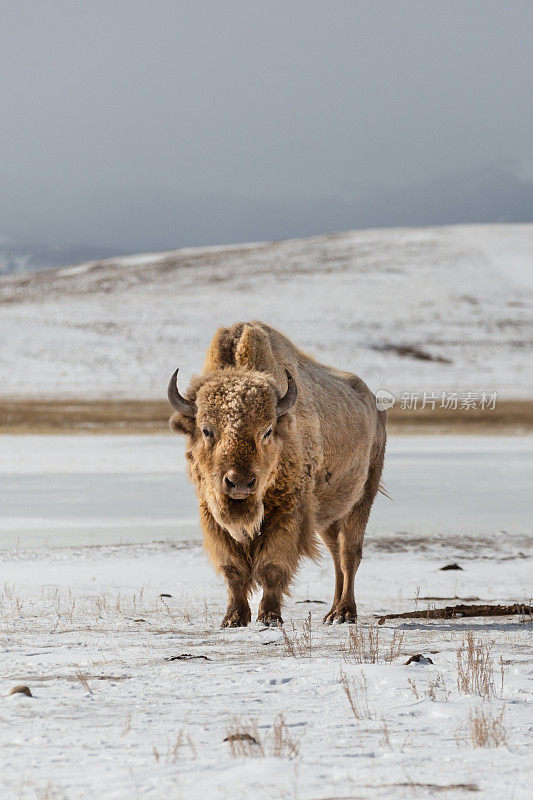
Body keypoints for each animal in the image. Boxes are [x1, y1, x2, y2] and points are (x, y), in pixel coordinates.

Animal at [168, 322, 384, 628]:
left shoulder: (287, 513)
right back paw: (331, 613)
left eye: (266, 430)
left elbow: (272, 566)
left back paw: (344, 613)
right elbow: (232, 569)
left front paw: (269, 617)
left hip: (362, 499)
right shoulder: (212, 514)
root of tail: (374, 404)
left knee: (349, 554)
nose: (240, 483)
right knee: (335, 555)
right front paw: (233, 618)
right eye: (207, 429)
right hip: (327, 517)